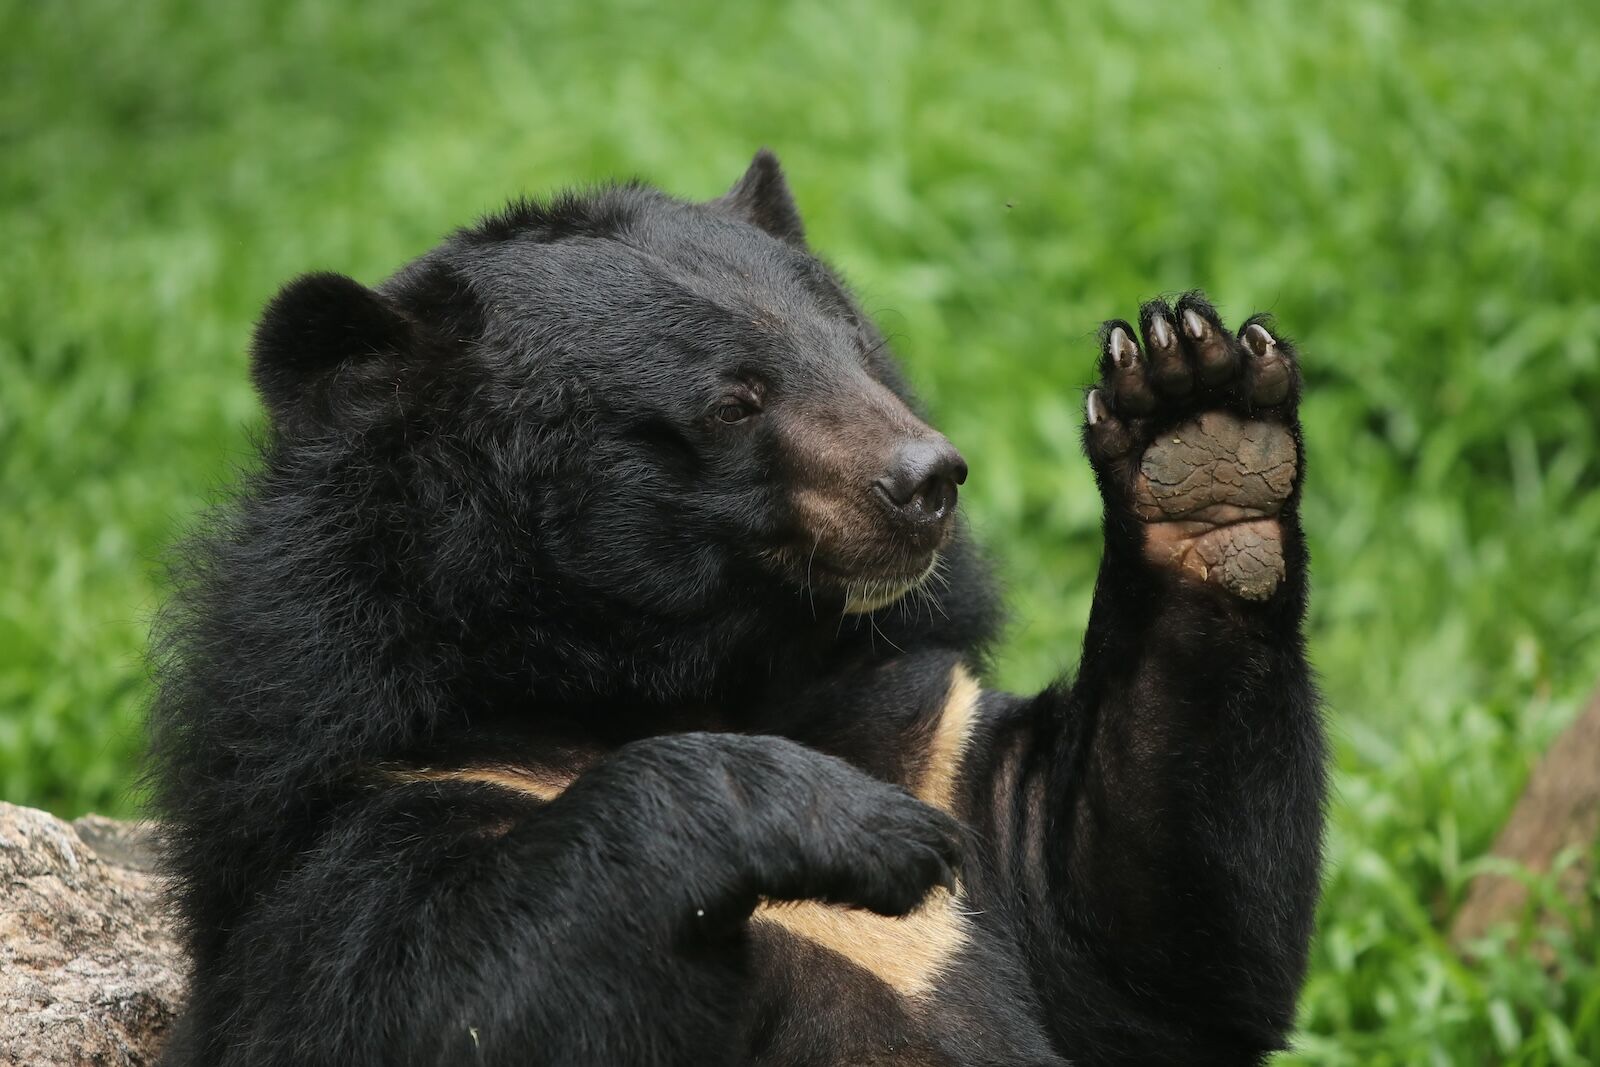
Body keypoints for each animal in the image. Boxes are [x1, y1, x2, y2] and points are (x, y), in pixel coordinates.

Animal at [147, 150, 1326, 1066]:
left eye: (854, 346)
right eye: (733, 399)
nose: (926, 479)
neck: (689, 670)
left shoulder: (927, 735)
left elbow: (1147, 932)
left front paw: (1196, 425)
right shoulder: (375, 800)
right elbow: (435, 999)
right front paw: (854, 822)